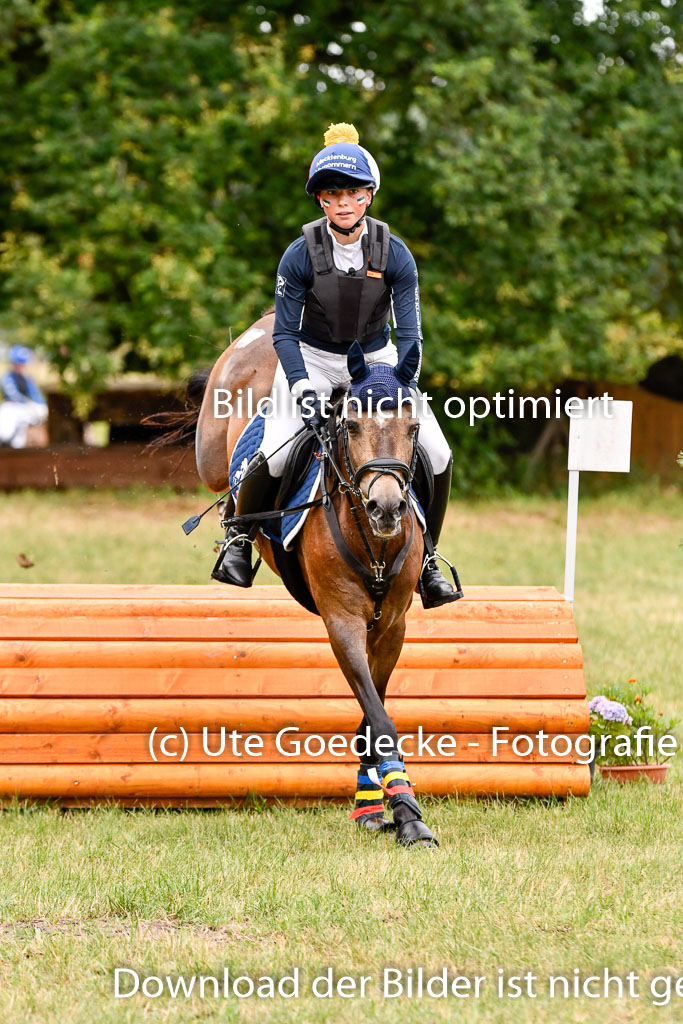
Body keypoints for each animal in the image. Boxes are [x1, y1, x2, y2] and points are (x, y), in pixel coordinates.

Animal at [156, 311, 438, 847]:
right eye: (351, 426)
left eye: (413, 428)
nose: (387, 508)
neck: (373, 542)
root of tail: (263, 324)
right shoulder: (342, 622)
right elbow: (379, 718)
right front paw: (408, 815)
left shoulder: (391, 626)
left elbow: (373, 714)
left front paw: (377, 806)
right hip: (212, 446)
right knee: (230, 477)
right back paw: (233, 534)